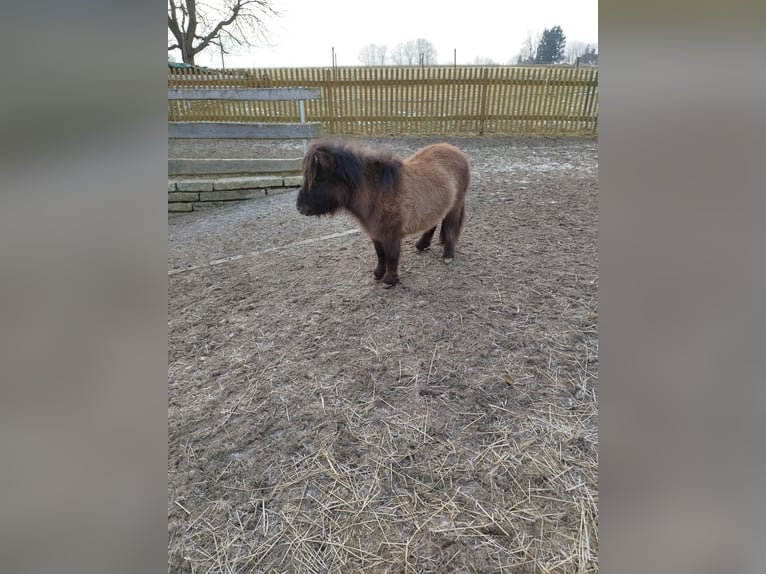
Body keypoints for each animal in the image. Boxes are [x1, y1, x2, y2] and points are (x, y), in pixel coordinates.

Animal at [296, 140, 472, 288]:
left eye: (316, 180)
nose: (299, 208)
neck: (377, 193)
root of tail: (458, 152)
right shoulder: (376, 233)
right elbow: (380, 254)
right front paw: (378, 273)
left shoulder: (391, 234)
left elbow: (391, 255)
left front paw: (389, 280)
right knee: (434, 223)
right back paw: (421, 245)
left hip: (455, 207)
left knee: (451, 227)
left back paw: (447, 255)